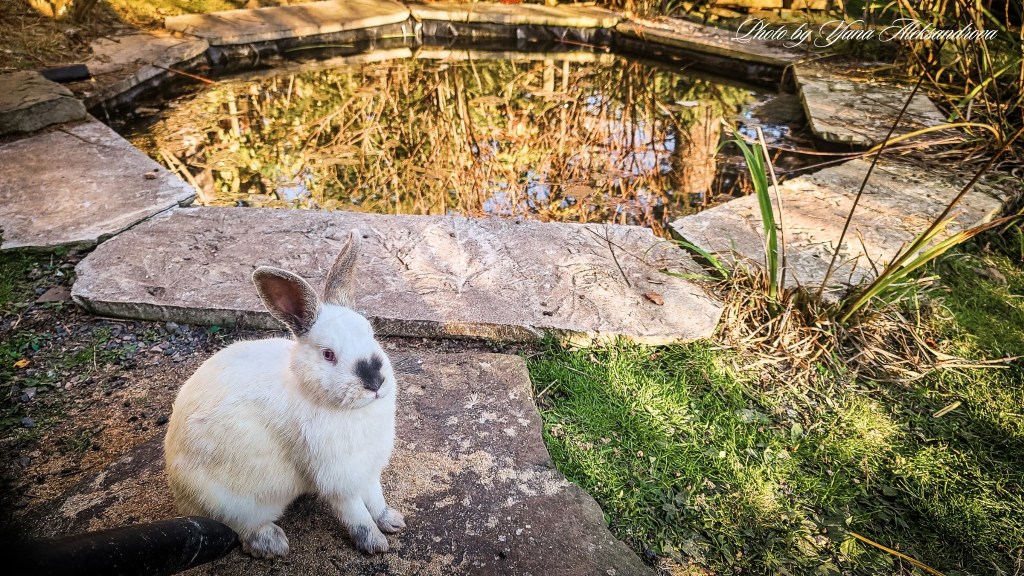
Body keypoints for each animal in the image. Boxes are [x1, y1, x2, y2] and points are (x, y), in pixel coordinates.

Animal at [164, 230, 404, 559]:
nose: (375, 381)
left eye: (370, 333)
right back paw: (273, 543)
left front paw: (392, 521)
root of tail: (180, 494)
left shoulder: (368, 469)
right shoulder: (338, 479)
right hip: (234, 504)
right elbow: (357, 514)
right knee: (242, 528)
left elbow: (376, 500)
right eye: (328, 354)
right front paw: (375, 543)